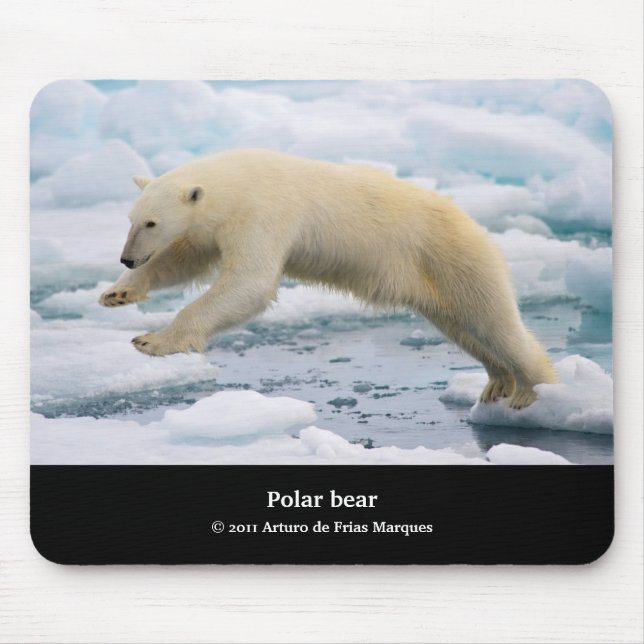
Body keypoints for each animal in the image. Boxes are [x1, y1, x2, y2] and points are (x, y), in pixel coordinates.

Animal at [99, 148, 556, 409]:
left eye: (152, 222)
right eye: (131, 219)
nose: (126, 258)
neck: (238, 180)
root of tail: (473, 224)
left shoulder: (264, 212)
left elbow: (250, 281)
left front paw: (152, 341)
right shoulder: (215, 225)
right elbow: (185, 258)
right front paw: (118, 293)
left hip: (453, 257)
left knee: (494, 321)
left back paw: (531, 390)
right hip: (435, 282)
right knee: (463, 327)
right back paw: (497, 383)